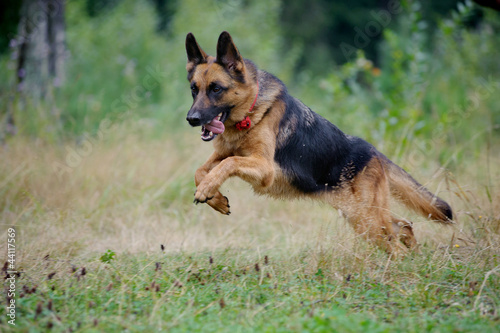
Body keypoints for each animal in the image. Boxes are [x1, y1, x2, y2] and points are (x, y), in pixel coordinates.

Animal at [187, 31, 454, 254]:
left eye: (216, 89)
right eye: (194, 89)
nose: (192, 119)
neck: (251, 113)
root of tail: (373, 151)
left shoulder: (264, 169)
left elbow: (229, 163)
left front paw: (208, 190)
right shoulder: (221, 156)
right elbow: (200, 170)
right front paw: (214, 198)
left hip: (366, 220)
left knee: (396, 244)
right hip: (359, 215)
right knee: (405, 225)